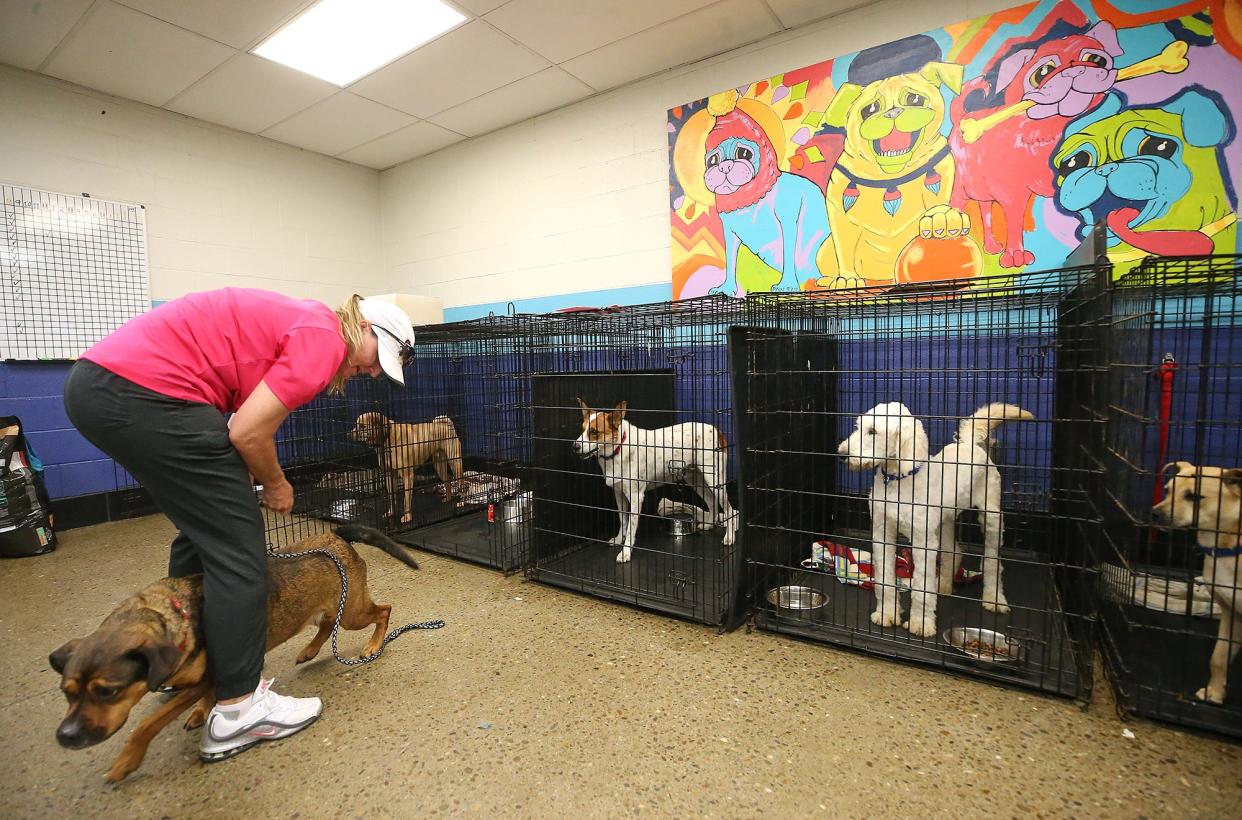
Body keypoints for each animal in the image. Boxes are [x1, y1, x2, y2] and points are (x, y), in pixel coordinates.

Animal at [49, 524, 422, 780]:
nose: (65, 737)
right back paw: (309, 650)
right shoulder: (205, 678)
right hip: (329, 608)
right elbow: (201, 699)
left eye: (107, 692)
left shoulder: (204, 679)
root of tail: (336, 535)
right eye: (67, 693)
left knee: (384, 611)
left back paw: (373, 645)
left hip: (353, 613)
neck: (173, 613)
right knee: (326, 624)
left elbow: (148, 724)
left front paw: (127, 761)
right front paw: (201, 712)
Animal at [573, 397, 735, 564]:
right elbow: (623, 520)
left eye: (594, 432)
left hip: (715, 480)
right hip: (694, 478)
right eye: (582, 429)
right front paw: (619, 540)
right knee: (711, 501)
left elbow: (630, 527)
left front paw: (625, 552)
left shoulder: (636, 496)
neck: (618, 448)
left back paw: (729, 537)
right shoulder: (619, 494)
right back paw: (708, 525)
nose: (575, 446)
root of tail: (716, 430)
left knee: (729, 510)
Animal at [839, 400, 1033, 636]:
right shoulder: (881, 533)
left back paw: (993, 599)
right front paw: (886, 613)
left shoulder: (923, 541)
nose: (841, 454)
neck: (897, 480)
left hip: (992, 516)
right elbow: (885, 579)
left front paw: (921, 623)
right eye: (858, 427)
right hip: (945, 520)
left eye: (873, 431)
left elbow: (922, 587)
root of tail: (971, 444)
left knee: (992, 561)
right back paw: (943, 586)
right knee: (954, 550)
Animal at [1147, 462, 1237, 705]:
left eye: (1194, 496)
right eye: (1167, 490)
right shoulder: (1230, 610)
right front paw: (1215, 692)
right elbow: (1219, 655)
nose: (1155, 513)